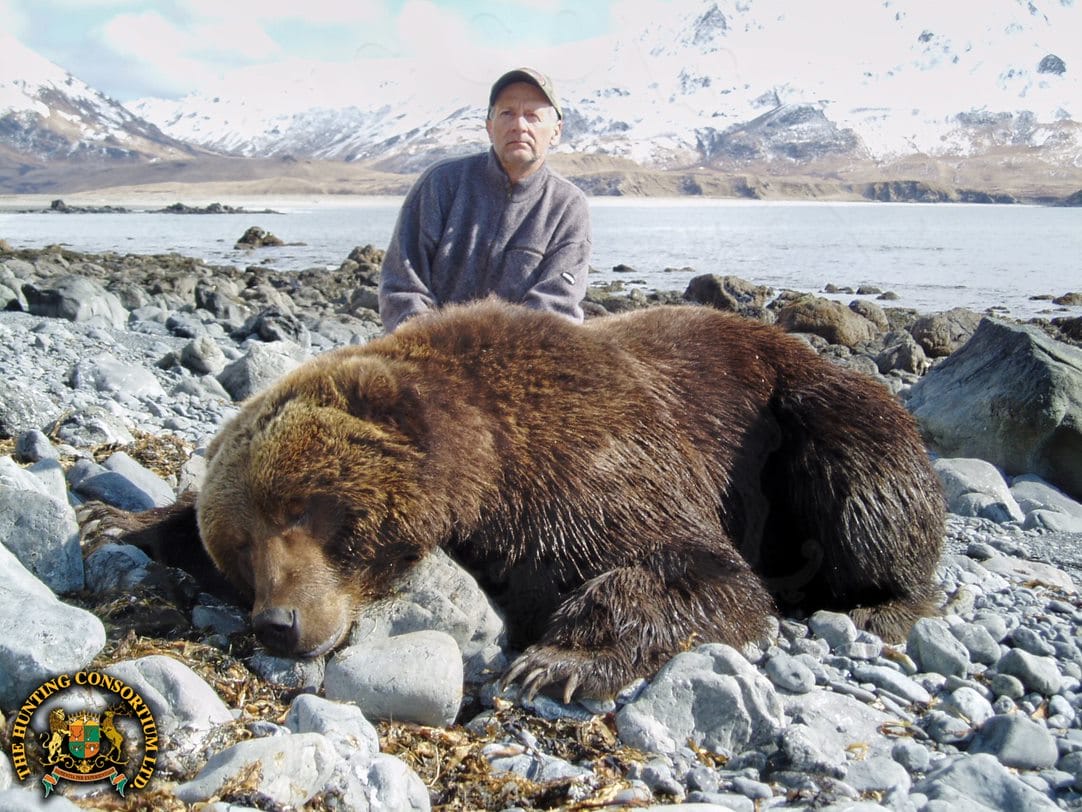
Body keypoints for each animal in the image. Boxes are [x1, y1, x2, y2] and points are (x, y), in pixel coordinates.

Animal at [95, 299, 944, 702]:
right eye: (239, 546)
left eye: (304, 507)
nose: (279, 622)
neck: (487, 466)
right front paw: (123, 518)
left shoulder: (597, 462)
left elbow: (697, 570)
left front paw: (562, 659)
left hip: (813, 417)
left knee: (867, 495)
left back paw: (882, 607)